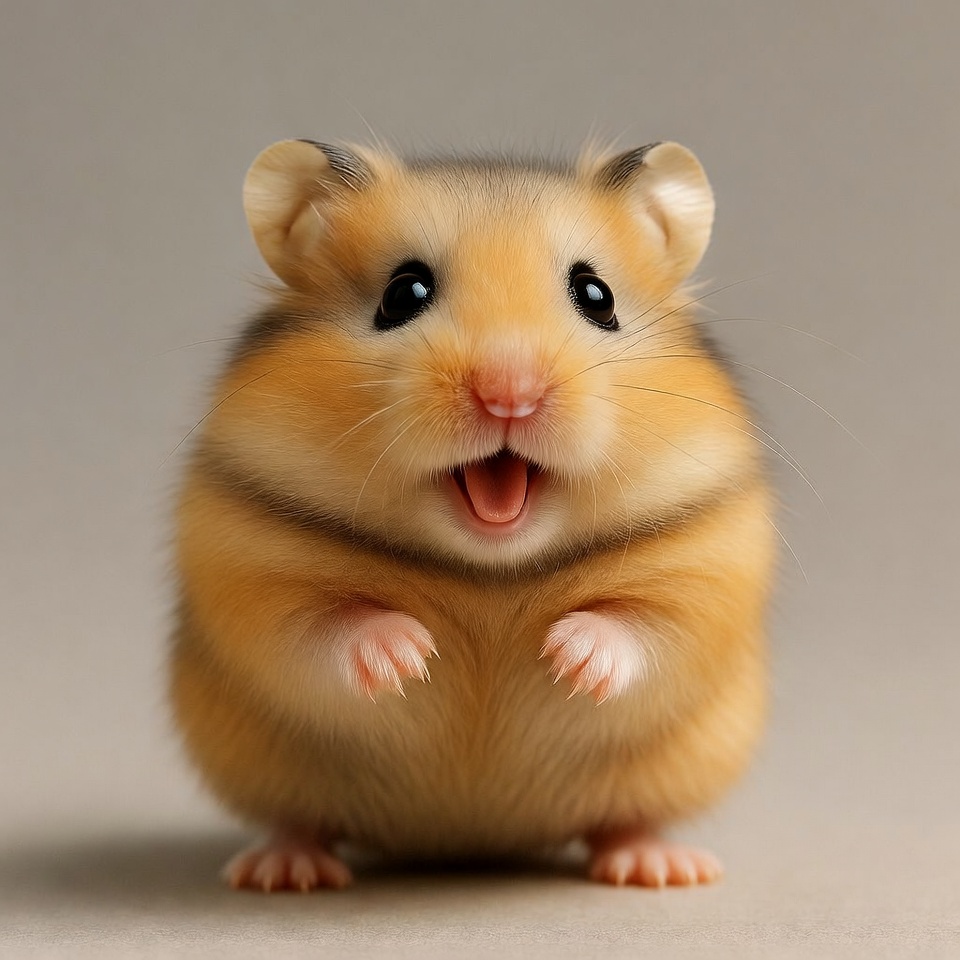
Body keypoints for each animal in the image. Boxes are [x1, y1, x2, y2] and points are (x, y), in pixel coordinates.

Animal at [170, 138, 775, 891]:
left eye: (597, 297)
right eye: (403, 293)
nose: (508, 393)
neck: (490, 569)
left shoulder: (708, 561)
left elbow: (645, 627)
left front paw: (568, 655)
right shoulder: (246, 563)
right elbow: (320, 628)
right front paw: (410, 654)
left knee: (626, 818)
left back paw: (662, 866)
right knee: (298, 818)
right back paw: (284, 870)